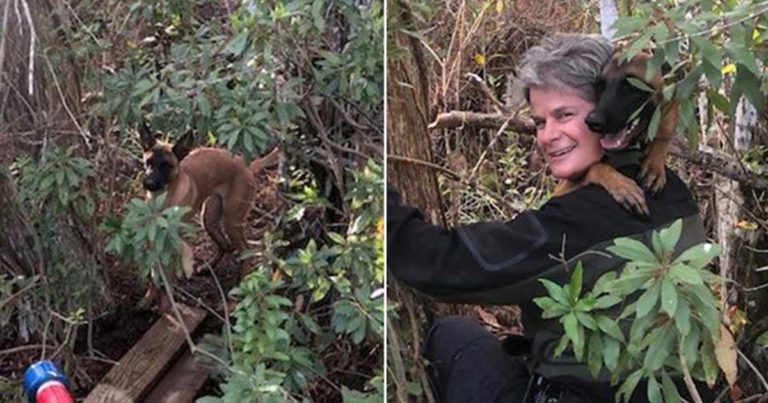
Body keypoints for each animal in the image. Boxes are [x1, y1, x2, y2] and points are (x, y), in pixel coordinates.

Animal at [140, 121, 280, 278]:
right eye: (148, 162)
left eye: (166, 165)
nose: (149, 183)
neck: (164, 198)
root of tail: (246, 165)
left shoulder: (174, 238)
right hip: (208, 219)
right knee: (225, 246)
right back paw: (208, 267)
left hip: (231, 222)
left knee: (246, 250)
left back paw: (244, 278)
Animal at [552, 51, 680, 218]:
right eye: (601, 86)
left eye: (633, 87)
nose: (593, 122)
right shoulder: (560, 191)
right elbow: (596, 167)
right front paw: (621, 185)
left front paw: (654, 165)